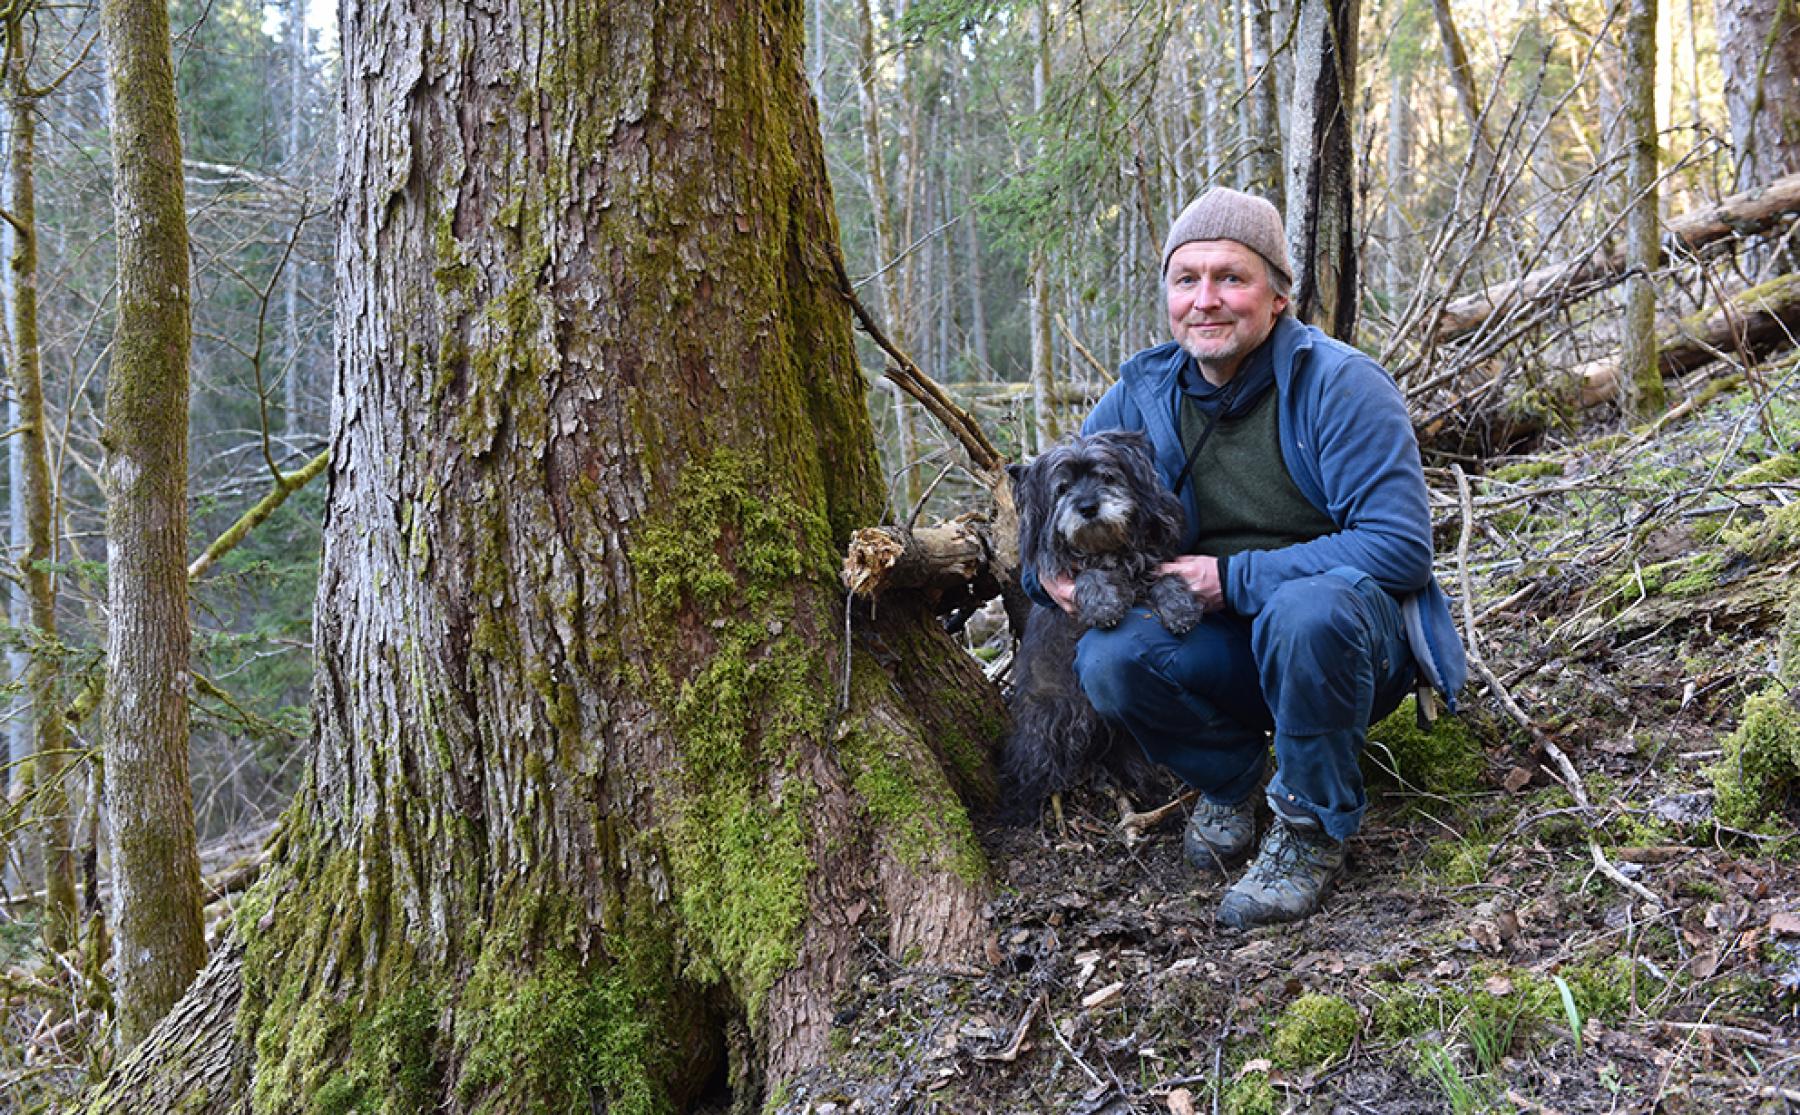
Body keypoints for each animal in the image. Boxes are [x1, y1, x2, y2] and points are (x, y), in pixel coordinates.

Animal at [1008, 432, 1202, 814]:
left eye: (1106, 476)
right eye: (1062, 488)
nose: (1087, 507)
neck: (1107, 547)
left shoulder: (1150, 565)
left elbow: (1165, 577)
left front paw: (1180, 607)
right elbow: (1087, 576)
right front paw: (1102, 603)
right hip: (1052, 720)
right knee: (1032, 768)